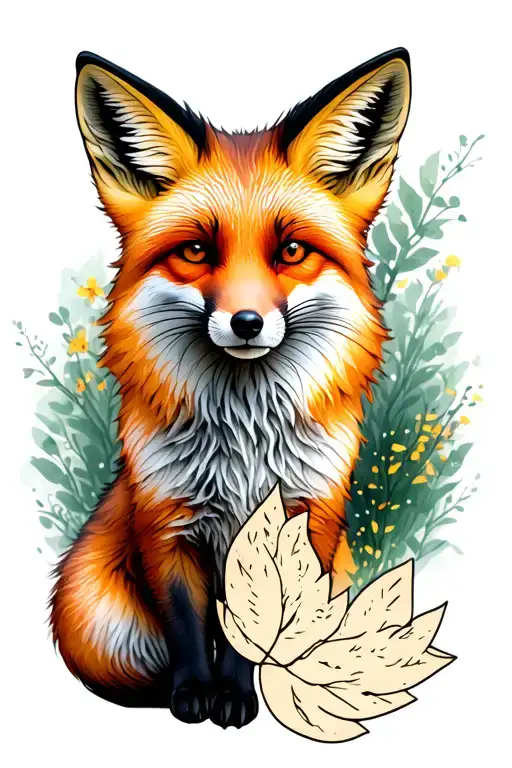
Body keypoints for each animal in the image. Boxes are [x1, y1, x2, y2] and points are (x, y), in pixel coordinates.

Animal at [51, 48, 411, 729]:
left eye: (291, 250)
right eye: (196, 250)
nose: (247, 322)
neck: (243, 446)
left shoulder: (303, 519)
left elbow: (255, 632)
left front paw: (238, 695)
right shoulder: (166, 522)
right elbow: (192, 626)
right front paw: (194, 692)